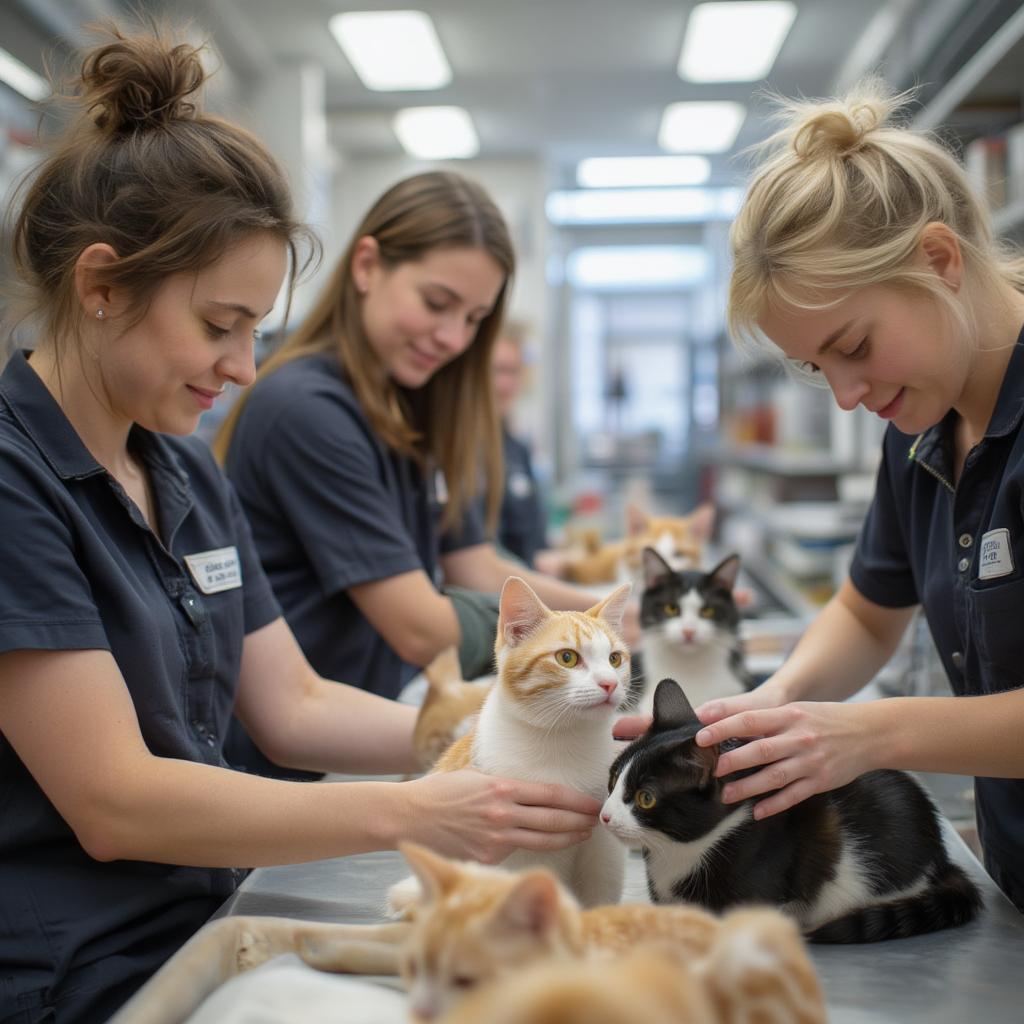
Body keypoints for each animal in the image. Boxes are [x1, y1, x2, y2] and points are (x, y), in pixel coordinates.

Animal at [401, 581, 630, 909]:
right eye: (567, 658)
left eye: (614, 659)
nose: (610, 683)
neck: (562, 740)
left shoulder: (602, 846)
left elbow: (600, 893)